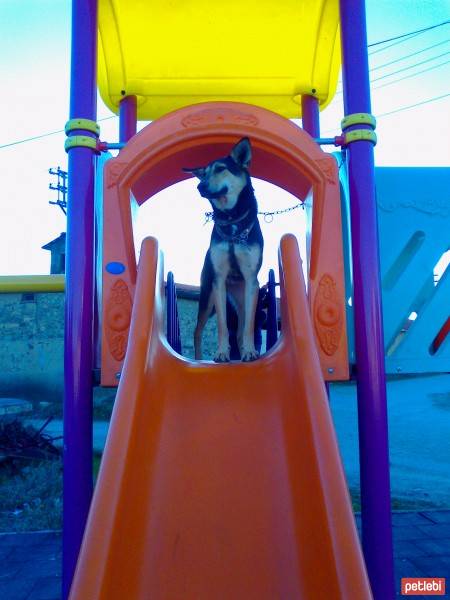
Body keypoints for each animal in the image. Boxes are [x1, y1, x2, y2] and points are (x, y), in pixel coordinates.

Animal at [183, 137, 264, 364]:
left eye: (220, 169)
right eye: (204, 173)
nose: (200, 185)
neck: (231, 219)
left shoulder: (252, 280)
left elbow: (247, 327)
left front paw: (250, 352)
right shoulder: (218, 280)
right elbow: (222, 325)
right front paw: (221, 353)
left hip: (242, 297)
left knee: (242, 329)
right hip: (207, 296)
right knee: (197, 331)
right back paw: (199, 359)